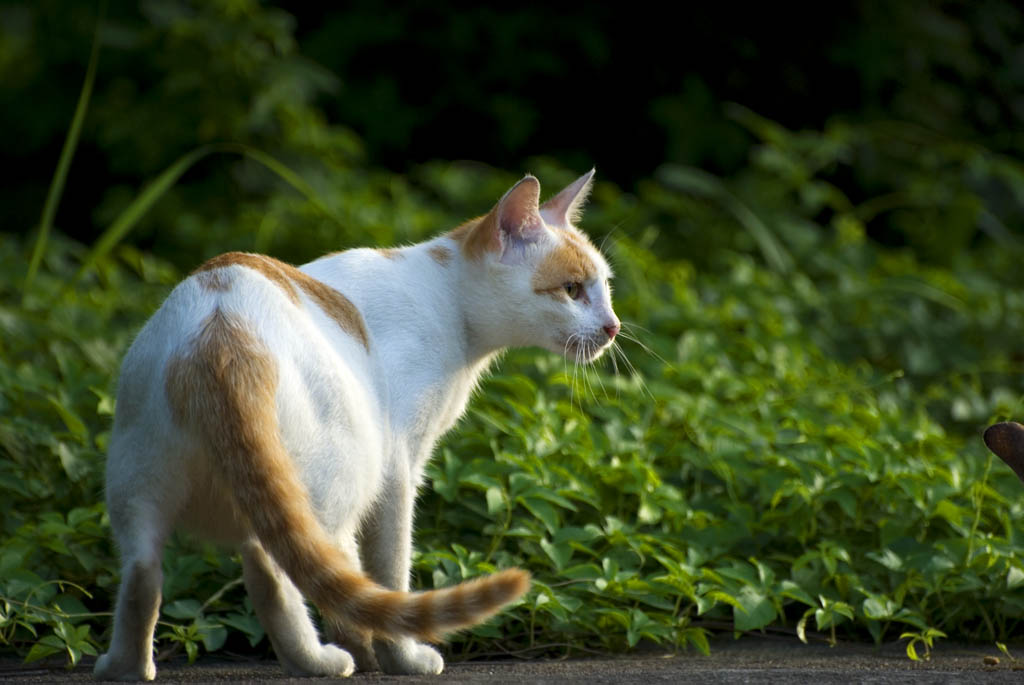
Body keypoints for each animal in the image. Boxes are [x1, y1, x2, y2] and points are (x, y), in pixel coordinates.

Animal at [94, 169, 622, 679]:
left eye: (606, 288)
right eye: (572, 290)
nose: (613, 326)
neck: (448, 301)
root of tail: (222, 328)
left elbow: (348, 578)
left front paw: (365, 648)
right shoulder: (399, 469)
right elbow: (388, 571)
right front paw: (399, 657)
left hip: (135, 481)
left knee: (144, 573)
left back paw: (127, 668)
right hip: (342, 473)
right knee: (273, 570)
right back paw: (317, 662)